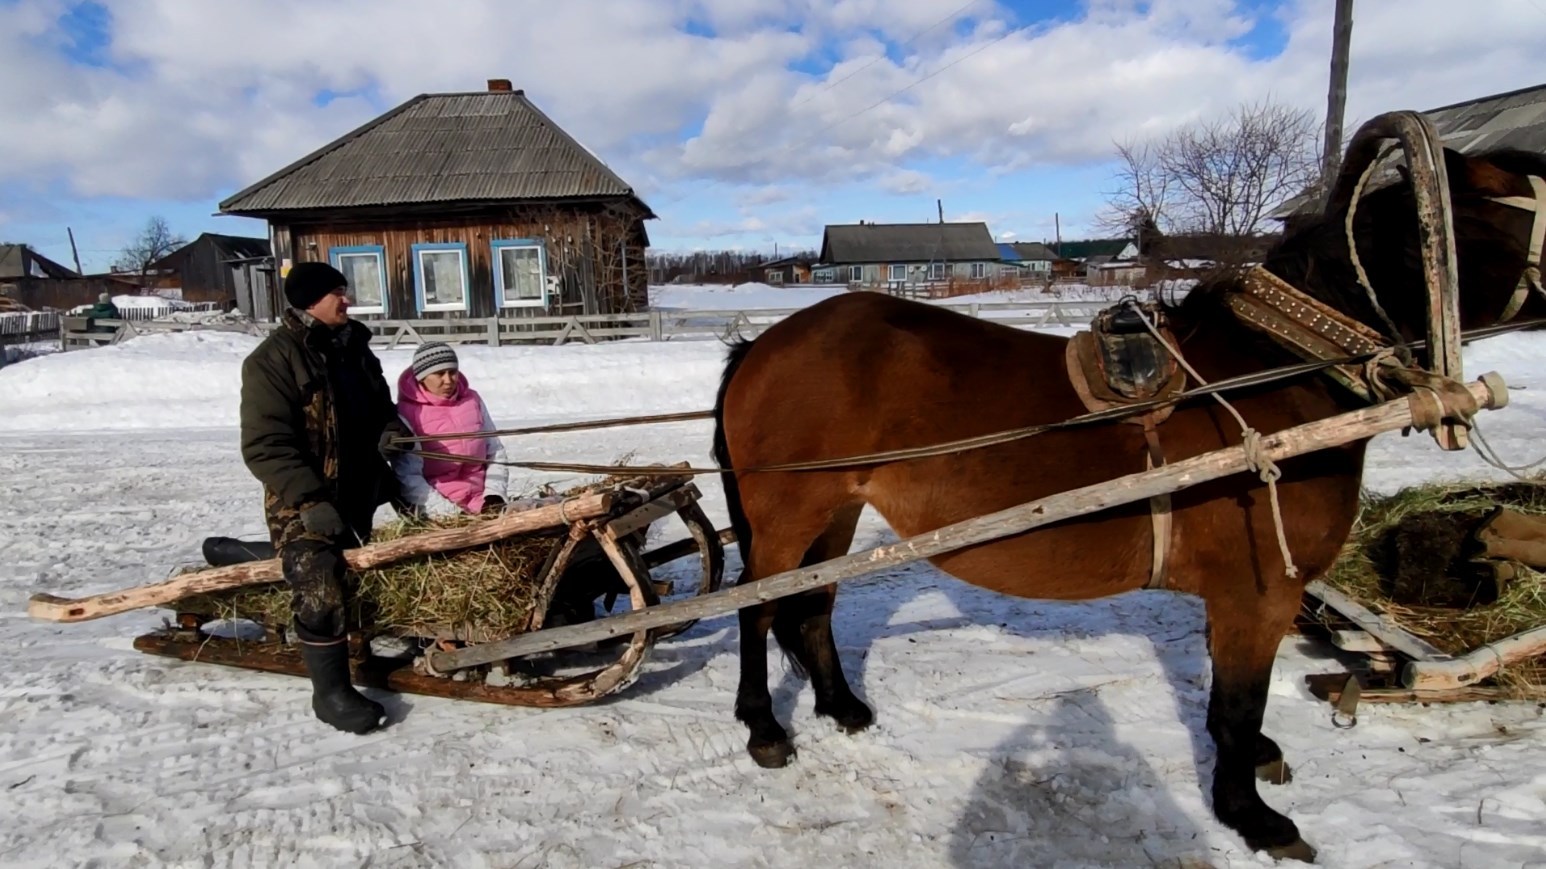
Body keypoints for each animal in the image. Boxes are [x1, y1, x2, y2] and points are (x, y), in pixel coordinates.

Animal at [708, 145, 1546, 853]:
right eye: (1533, 192)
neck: (1279, 377)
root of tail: (765, 344)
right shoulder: (1260, 589)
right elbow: (1238, 703)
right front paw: (1251, 816)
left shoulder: (1246, 596)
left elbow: (1233, 693)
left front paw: (1258, 761)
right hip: (788, 515)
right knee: (757, 606)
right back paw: (765, 727)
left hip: (836, 511)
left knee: (812, 605)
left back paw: (841, 704)